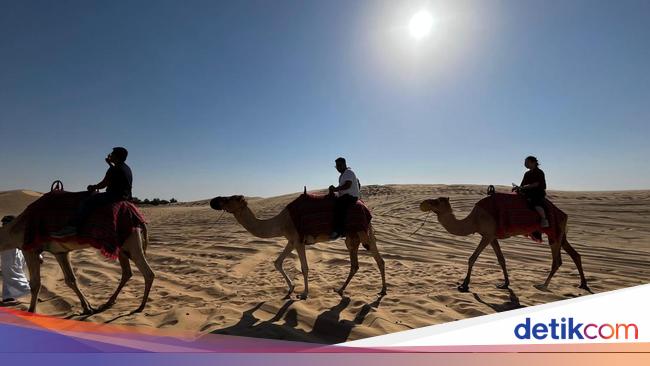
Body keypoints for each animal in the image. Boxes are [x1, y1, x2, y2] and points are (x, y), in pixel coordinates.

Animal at [0, 192, 154, 314]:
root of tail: (138, 217)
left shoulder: (30, 249)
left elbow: (35, 284)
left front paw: (31, 311)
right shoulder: (60, 252)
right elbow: (71, 280)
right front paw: (88, 308)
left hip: (132, 242)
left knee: (148, 273)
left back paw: (140, 307)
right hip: (123, 247)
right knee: (127, 272)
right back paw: (108, 303)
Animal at [210, 193, 384, 298]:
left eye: (229, 198)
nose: (213, 201)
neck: (281, 222)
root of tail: (365, 206)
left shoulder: (299, 240)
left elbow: (304, 268)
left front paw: (305, 293)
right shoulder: (291, 241)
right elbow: (277, 262)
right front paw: (291, 288)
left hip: (363, 232)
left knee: (378, 259)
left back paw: (383, 290)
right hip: (352, 235)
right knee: (355, 264)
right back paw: (340, 289)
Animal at [418, 193, 588, 294]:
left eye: (436, 201)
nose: (423, 203)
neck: (474, 220)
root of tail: (563, 213)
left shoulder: (486, 235)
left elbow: (472, 258)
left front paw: (464, 285)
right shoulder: (492, 237)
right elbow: (501, 259)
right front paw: (504, 284)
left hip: (554, 233)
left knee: (557, 260)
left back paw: (542, 285)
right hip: (561, 235)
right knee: (575, 255)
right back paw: (583, 284)